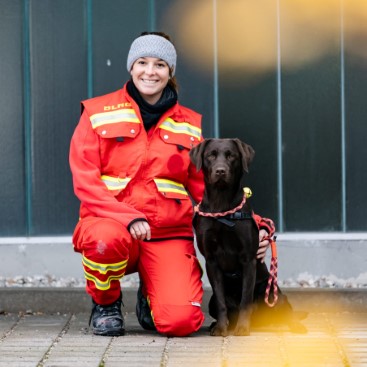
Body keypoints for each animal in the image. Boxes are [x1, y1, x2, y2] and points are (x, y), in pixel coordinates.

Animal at [190, 139, 308, 336]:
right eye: (210, 156)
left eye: (231, 155)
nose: (220, 171)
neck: (222, 208)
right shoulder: (211, 261)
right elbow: (221, 302)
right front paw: (220, 327)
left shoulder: (248, 260)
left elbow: (246, 299)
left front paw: (242, 328)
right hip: (212, 301)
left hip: (272, 292)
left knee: (284, 310)